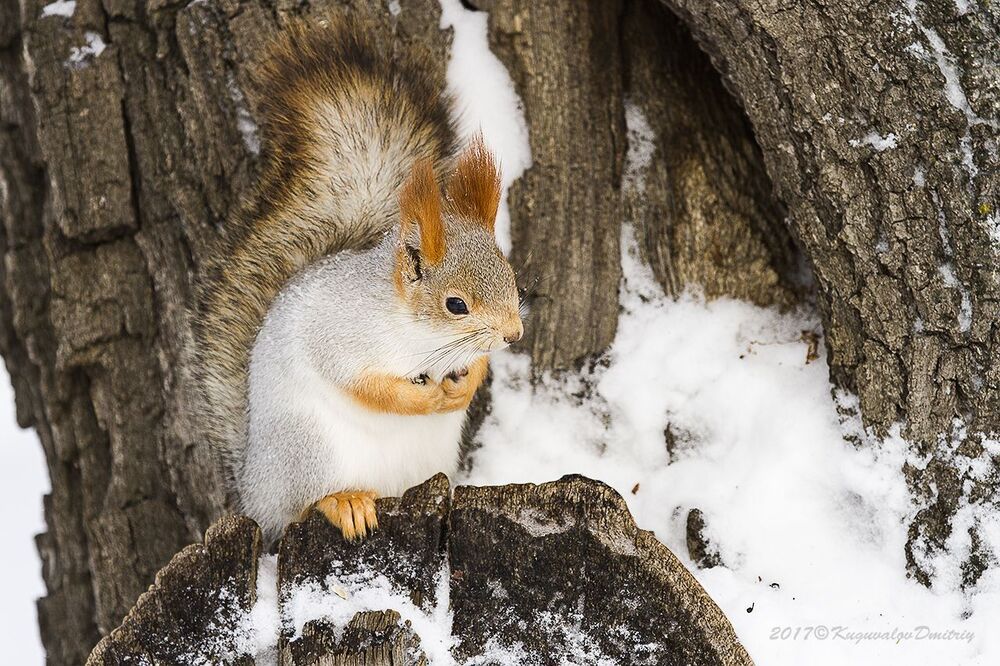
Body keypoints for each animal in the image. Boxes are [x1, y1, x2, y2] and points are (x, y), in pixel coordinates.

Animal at [194, 18, 523, 544]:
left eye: (510, 276)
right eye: (456, 304)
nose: (514, 334)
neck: (419, 335)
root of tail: (252, 488)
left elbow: (475, 367)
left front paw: (463, 387)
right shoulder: (337, 335)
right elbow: (365, 385)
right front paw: (421, 397)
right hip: (308, 452)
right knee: (300, 508)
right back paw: (343, 502)